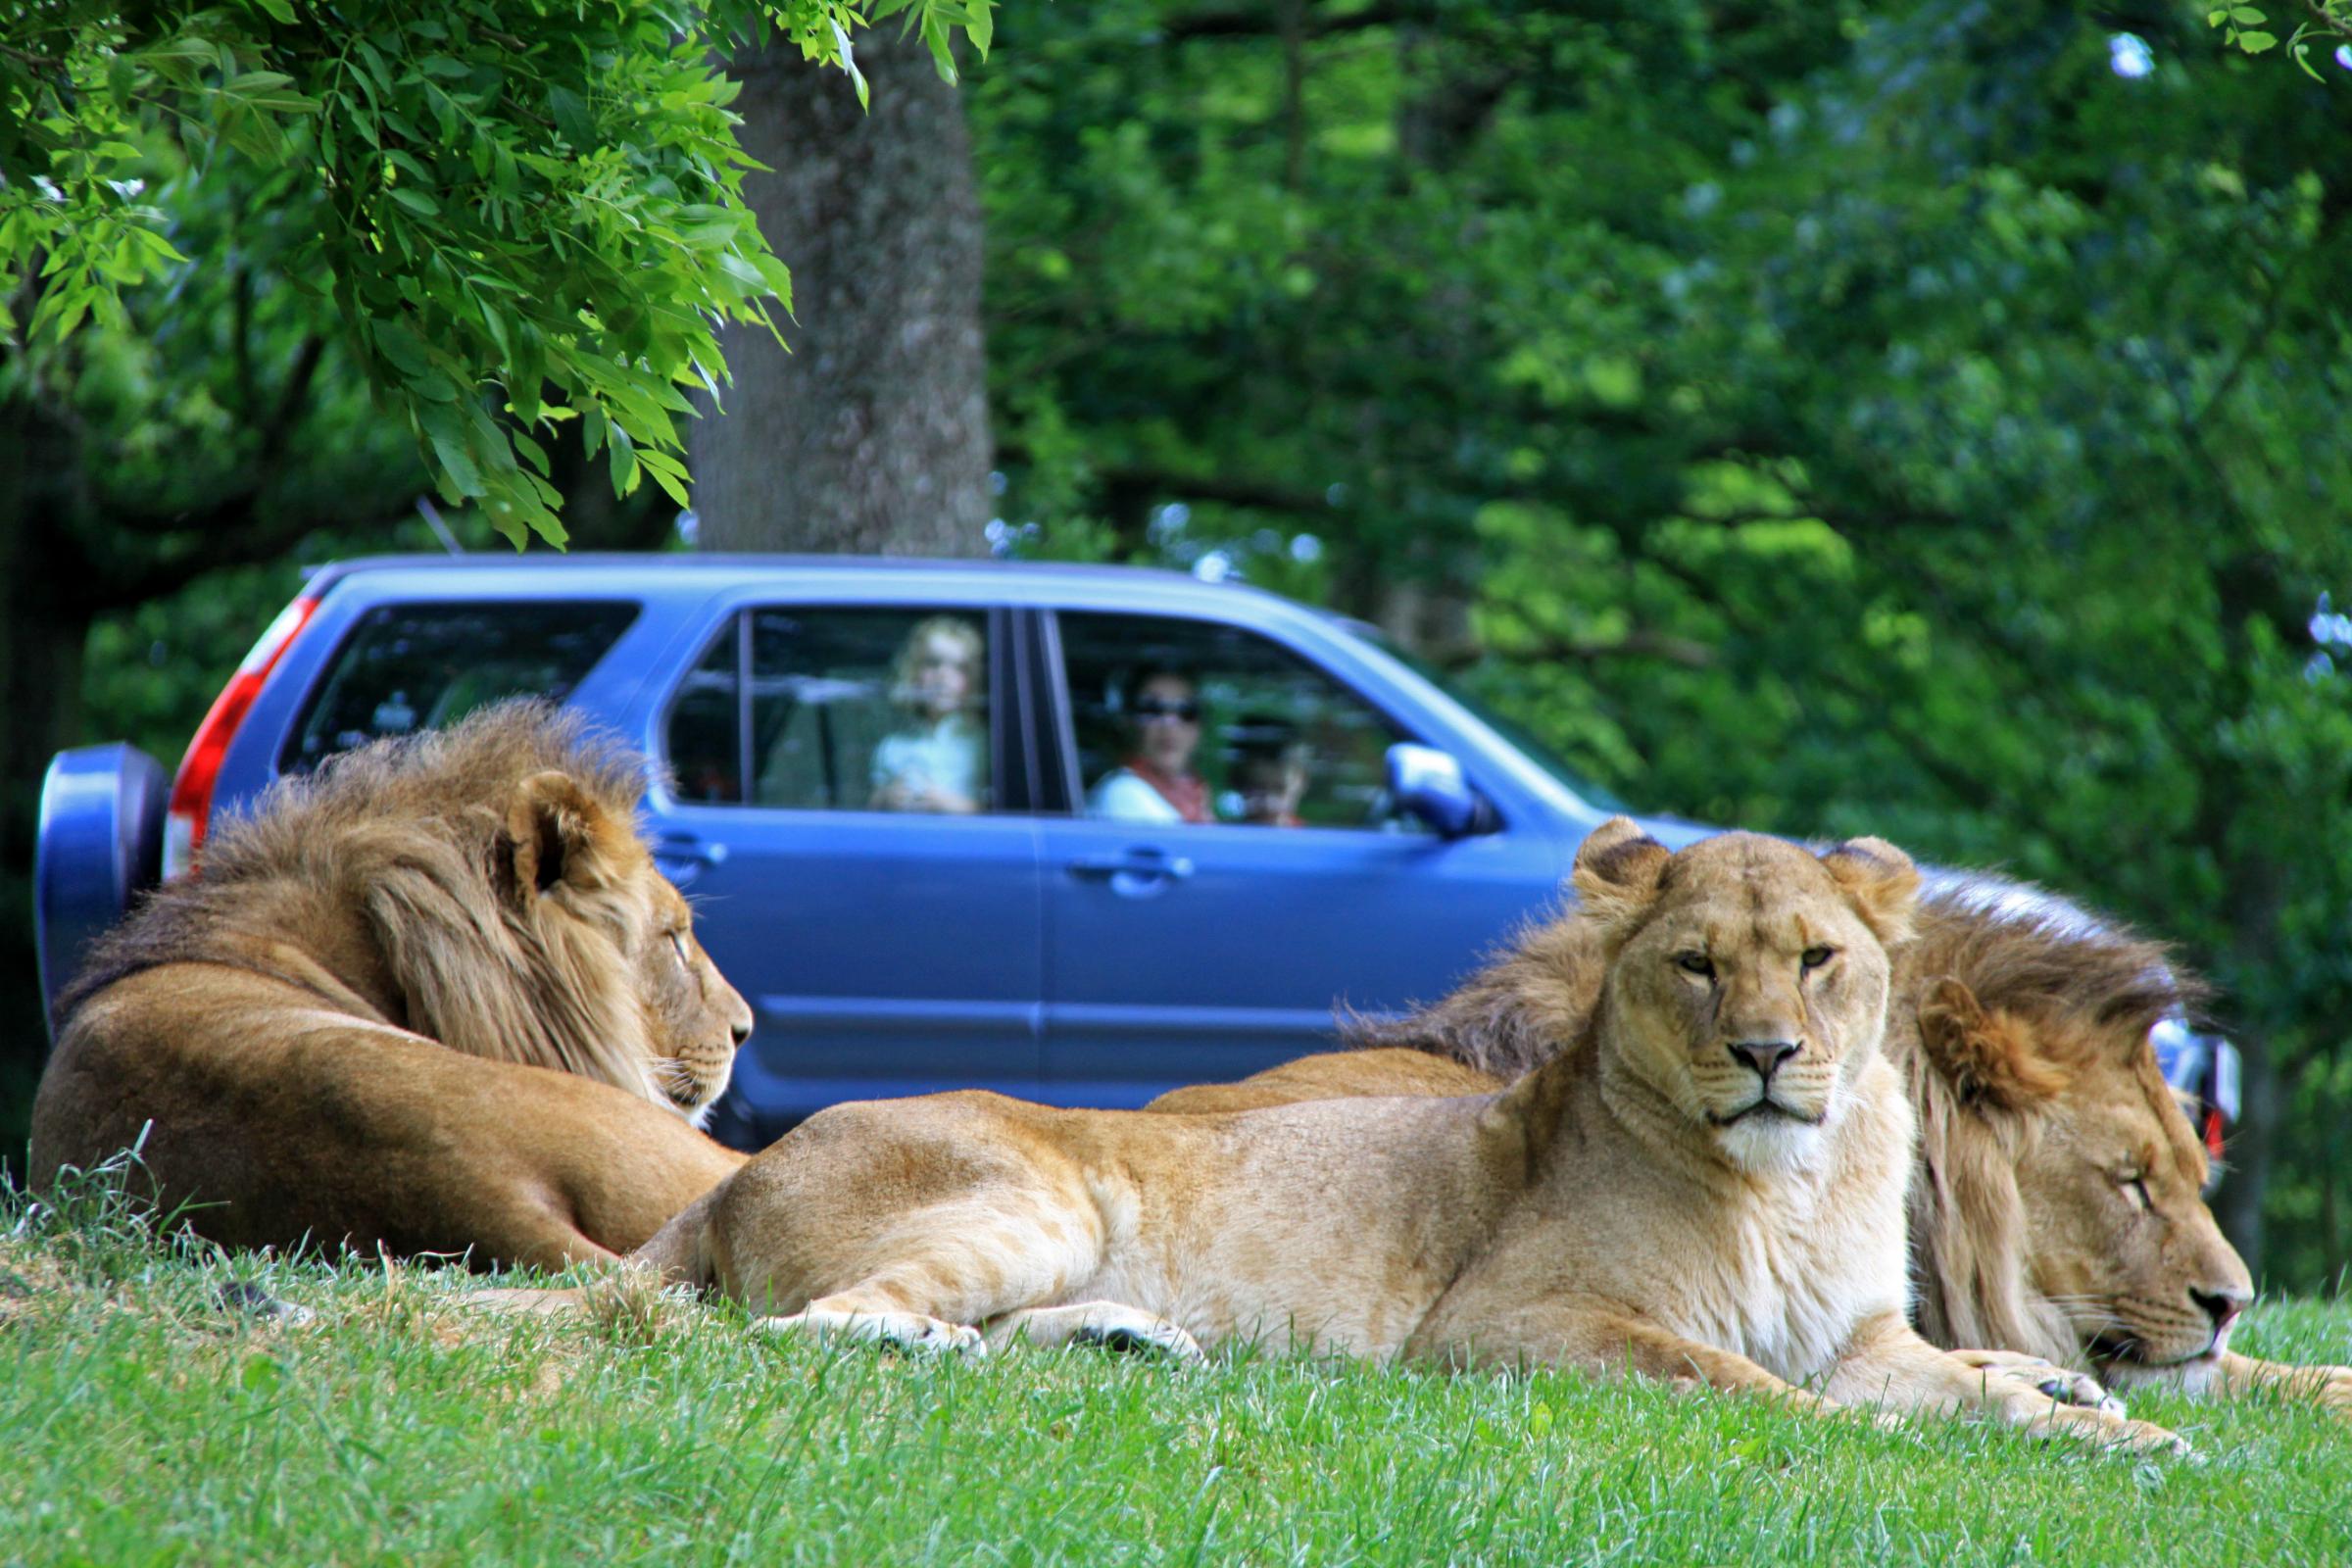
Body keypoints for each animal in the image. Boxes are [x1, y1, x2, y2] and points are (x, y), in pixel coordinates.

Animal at [519, 827, 2182, 1457]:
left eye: (1820, 960)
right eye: (1701, 965)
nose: (1770, 1054)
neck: (1790, 1183)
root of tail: (735, 1174)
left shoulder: (1864, 1331)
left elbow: (1944, 1376)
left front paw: (2097, 1417)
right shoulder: (1506, 1329)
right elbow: (1759, 1390)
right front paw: (1991, 1424)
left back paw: (1134, 1341)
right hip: (1035, 1195)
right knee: (818, 1325)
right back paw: (960, 1349)